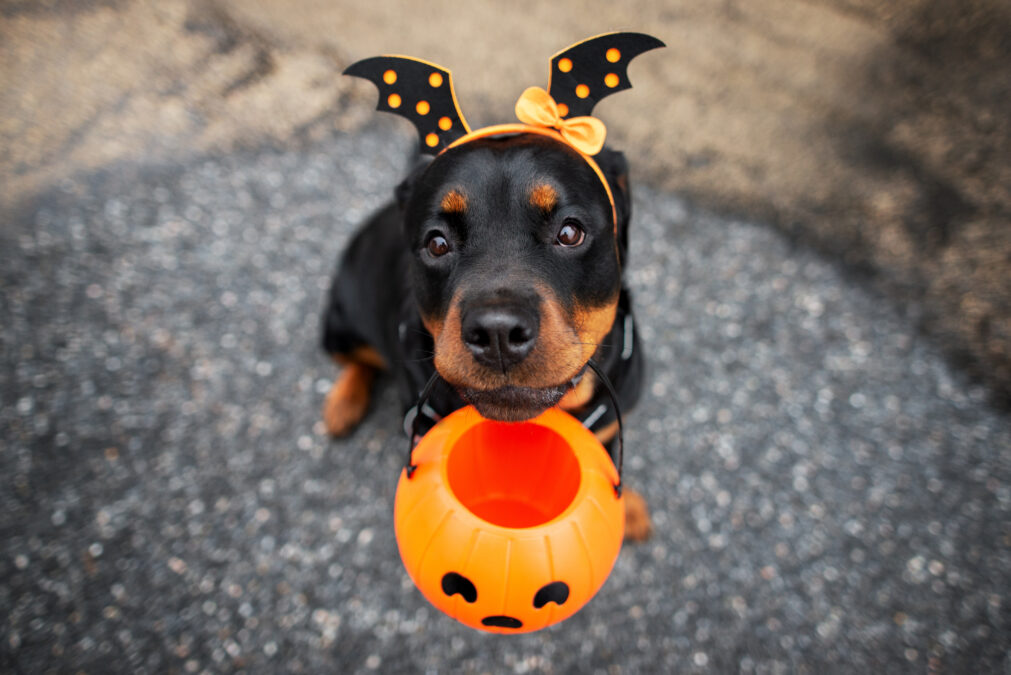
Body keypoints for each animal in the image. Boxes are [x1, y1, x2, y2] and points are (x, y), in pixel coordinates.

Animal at [319, 34, 659, 541]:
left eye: (570, 232)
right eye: (436, 243)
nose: (498, 332)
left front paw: (629, 506)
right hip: (338, 322)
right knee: (356, 359)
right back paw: (343, 403)